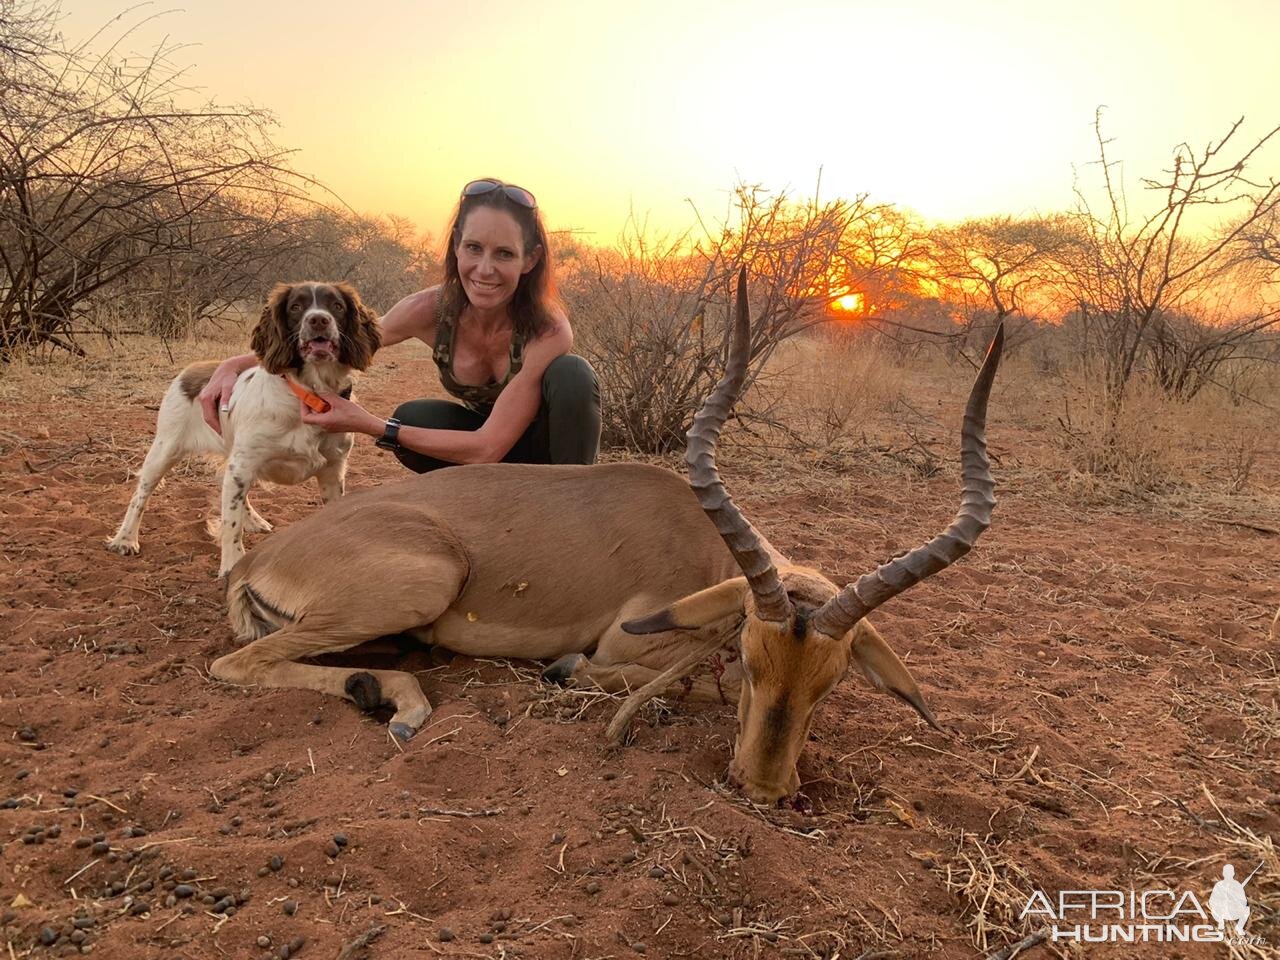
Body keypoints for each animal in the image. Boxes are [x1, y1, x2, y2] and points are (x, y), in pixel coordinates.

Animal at [106, 281, 378, 576]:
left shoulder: (332, 470)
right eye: (296, 307)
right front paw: (232, 565)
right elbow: (230, 525)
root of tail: (192, 367)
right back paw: (125, 539)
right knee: (140, 495)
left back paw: (254, 520)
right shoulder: (244, 464)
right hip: (165, 450)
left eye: (336, 306)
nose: (318, 320)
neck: (308, 394)